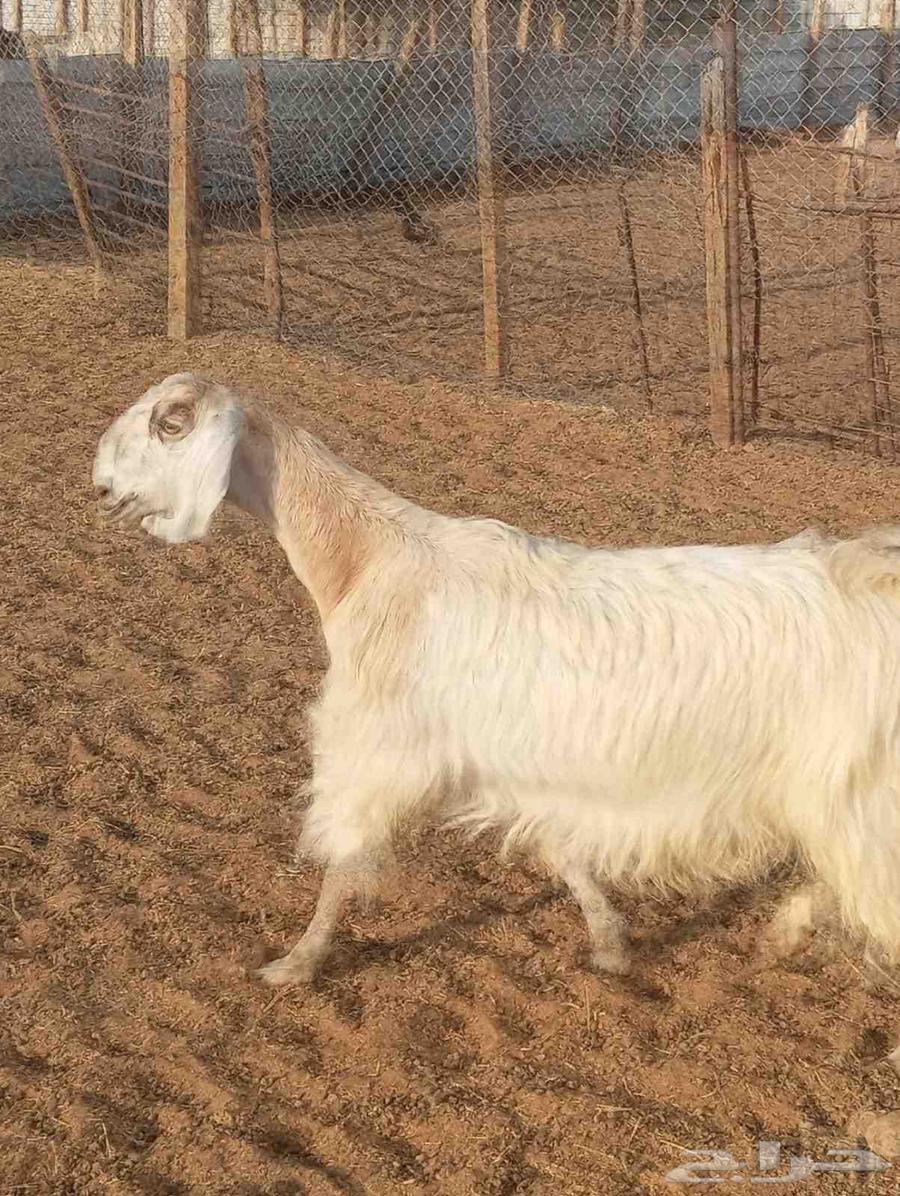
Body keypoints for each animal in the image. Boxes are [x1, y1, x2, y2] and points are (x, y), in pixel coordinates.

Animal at [93, 373, 900, 997]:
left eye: (169, 423)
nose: (100, 487)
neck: (369, 563)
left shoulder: (378, 746)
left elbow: (343, 864)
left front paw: (295, 963)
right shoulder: (517, 760)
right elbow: (562, 851)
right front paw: (610, 943)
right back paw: (786, 931)